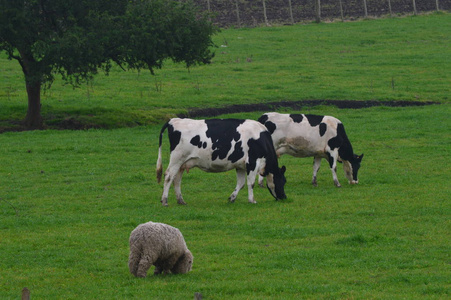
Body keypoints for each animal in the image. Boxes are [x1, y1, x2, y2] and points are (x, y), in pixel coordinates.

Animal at [157, 118, 288, 205]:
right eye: (282, 180)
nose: (284, 197)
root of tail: (174, 120)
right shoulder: (252, 162)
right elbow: (251, 183)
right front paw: (252, 200)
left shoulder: (240, 165)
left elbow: (241, 183)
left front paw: (232, 198)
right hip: (177, 158)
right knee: (169, 176)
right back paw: (164, 200)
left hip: (182, 163)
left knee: (177, 179)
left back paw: (180, 200)